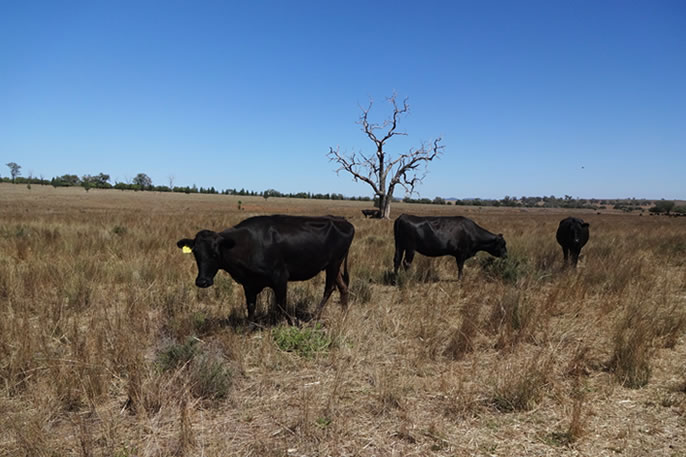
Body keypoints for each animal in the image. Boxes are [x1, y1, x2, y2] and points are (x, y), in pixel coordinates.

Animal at [177, 216, 354, 322]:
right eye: (196, 253)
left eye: (215, 253)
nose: (202, 281)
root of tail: (340, 219)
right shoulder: (249, 283)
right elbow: (250, 307)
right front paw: (250, 329)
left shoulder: (280, 277)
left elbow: (281, 306)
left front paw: (293, 324)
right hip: (333, 265)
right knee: (343, 287)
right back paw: (344, 315)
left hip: (334, 263)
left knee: (329, 288)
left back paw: (314, 317)